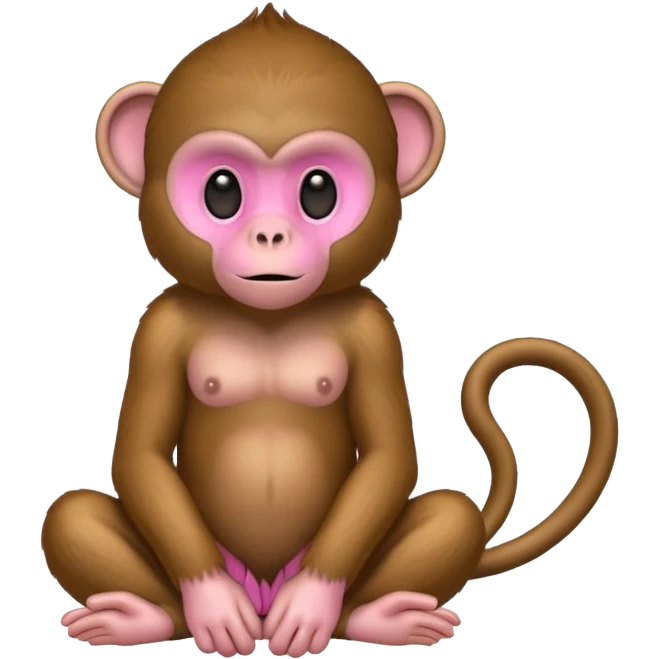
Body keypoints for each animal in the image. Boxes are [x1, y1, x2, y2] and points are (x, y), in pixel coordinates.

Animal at [41, 4, 619, 655]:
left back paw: (377, 617)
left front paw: (312, 602)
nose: (270, 234)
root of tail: (263, 599)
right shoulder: (158, 327)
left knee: (448, 517)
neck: (269, 317)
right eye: (221, 190)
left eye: (318, 191)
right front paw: (211, 603)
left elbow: (390, 452)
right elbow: (140, 454)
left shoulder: (374, 326)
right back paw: (143, 615)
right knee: (70, 515)